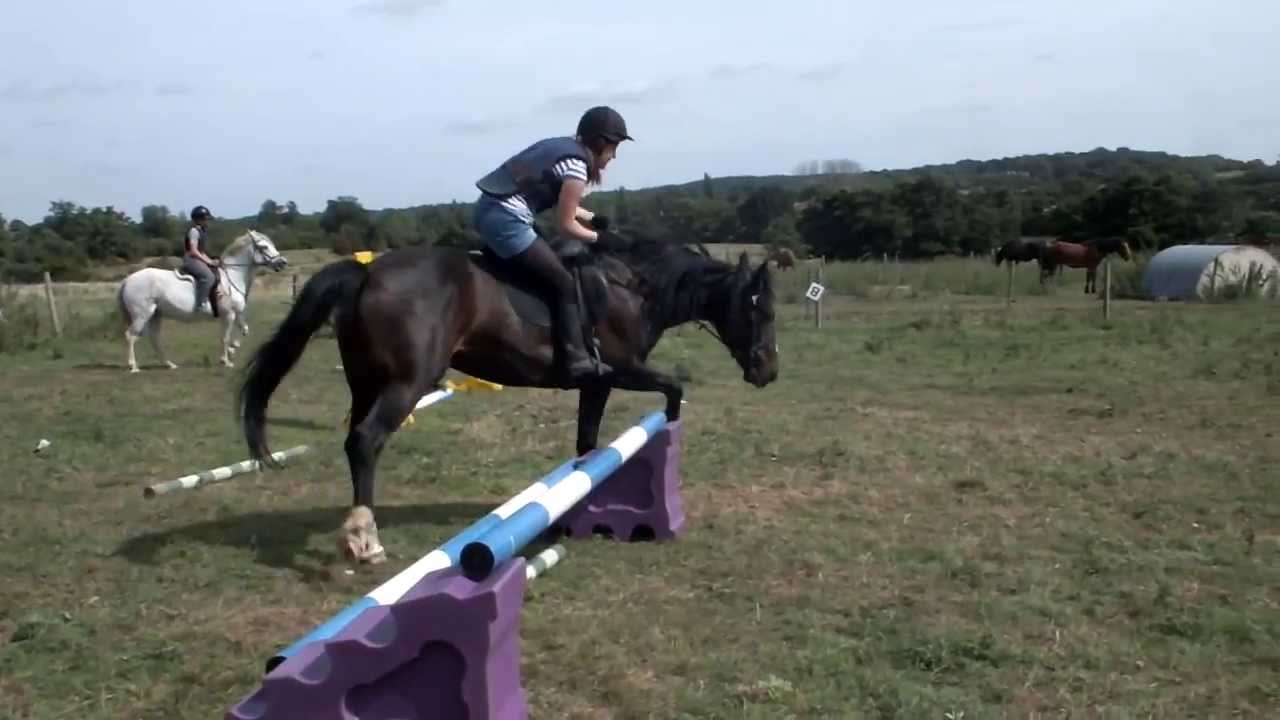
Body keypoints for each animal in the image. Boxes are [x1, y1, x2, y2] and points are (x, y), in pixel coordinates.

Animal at [117, 229, 289, 373]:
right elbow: (225, 337)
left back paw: (170, 364)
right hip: (142, 315)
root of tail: (128, 280)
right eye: (264, 247)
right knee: (130, 335)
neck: (232, 276)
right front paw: (226, 361)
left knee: (155, 339)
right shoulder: (229, 315)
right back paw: (133, 367)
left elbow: (244, 330)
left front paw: (233, 349)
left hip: (155, 315)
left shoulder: (235, 314)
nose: (283, 262)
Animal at [236, 231, 779, 566]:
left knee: (355, 439)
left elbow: (586, 446)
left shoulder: (597, 384)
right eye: (760, 311)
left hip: (366, 381)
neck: (635, 289)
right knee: (366, 441)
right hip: (408, 383)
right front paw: (667, 426)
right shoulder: (620, 370)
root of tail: (367, 273)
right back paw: (366, 540)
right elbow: (672, 389)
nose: (769, 371)